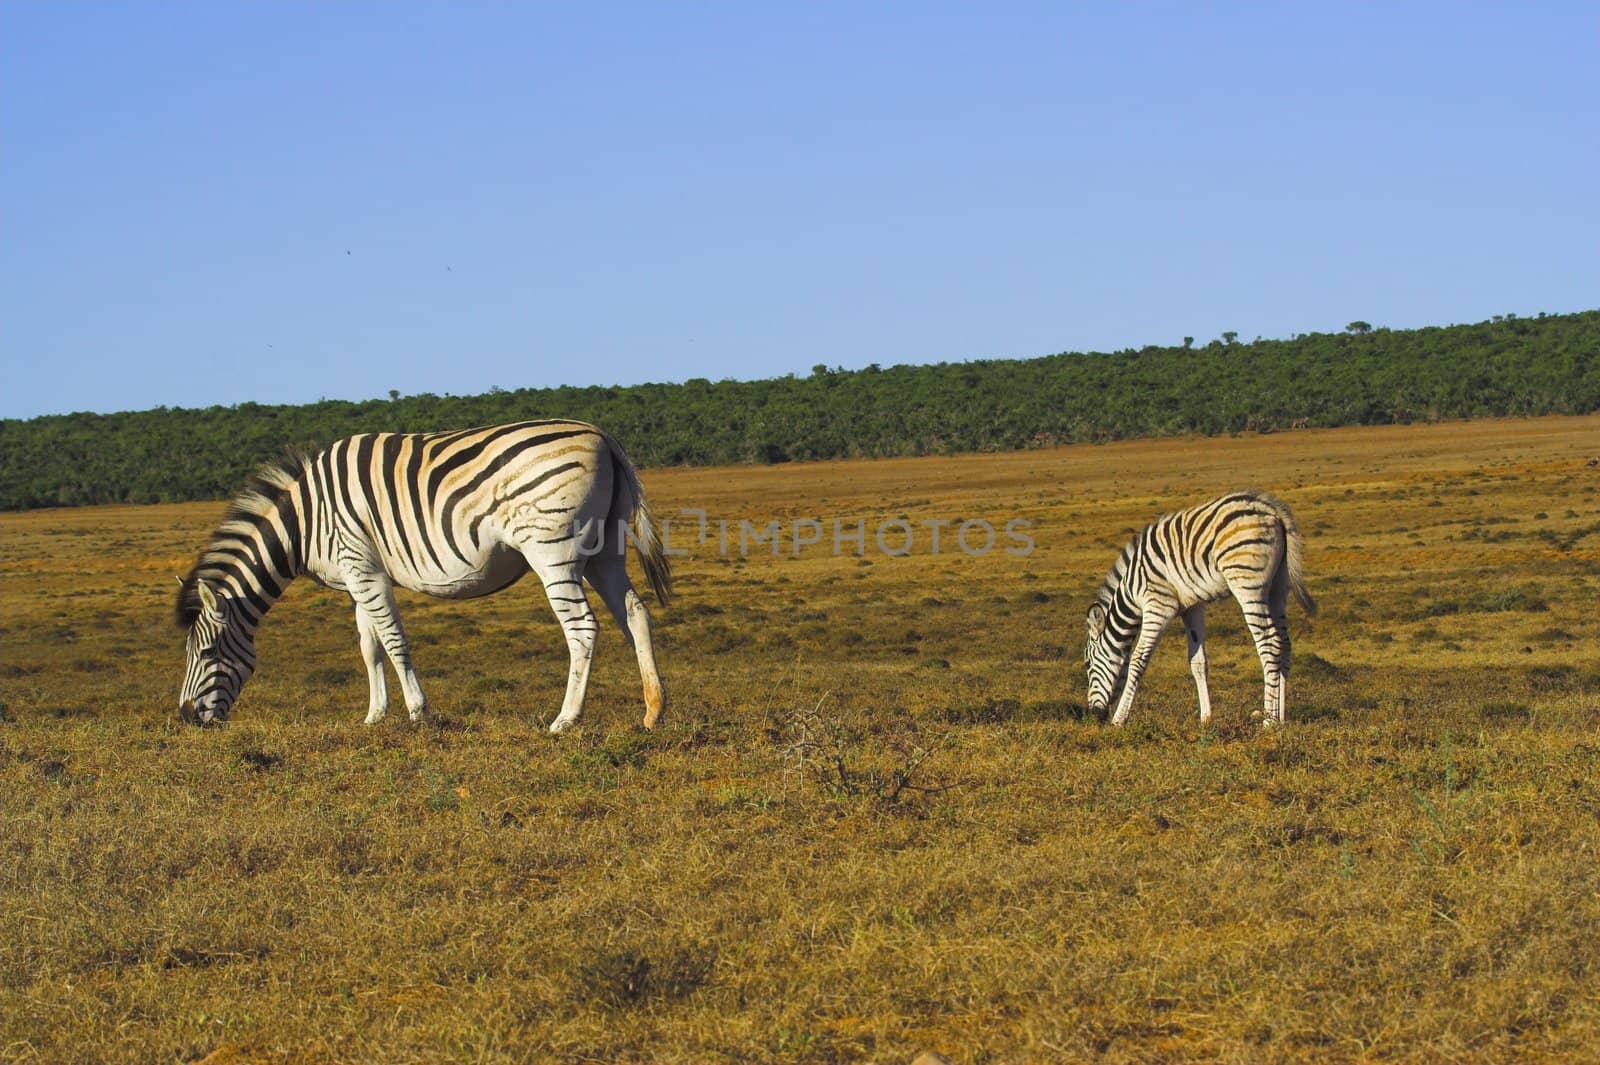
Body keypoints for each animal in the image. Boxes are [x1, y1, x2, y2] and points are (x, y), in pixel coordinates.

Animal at [175, 415, 668, 729]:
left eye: (207, 654)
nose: (185, 718)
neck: (304, 522)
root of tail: (601, 435)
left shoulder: (361, 566)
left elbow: (393, 640)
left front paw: (417, 712)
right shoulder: (358, 575)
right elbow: (369, 646)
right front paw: (374, 716)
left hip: (552, 549)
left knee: (582, 628)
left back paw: (565, 719)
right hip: (604, 551)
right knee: (635, 614)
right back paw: (653, 710)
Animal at [1081, 486, 1318, 722]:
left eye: (1088, 664)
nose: (1094, 714)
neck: (1131, 588)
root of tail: (1271, 508)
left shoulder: (1158, 604)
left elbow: (1138, 660)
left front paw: (1119, 719)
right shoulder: (1191, 607)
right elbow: (1198, 661)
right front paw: (1206, 717)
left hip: (1248, 583)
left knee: (1270, 643)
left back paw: (1269, 720)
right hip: (1278, 586)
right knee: (1285, 643)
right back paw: (1281, 717)